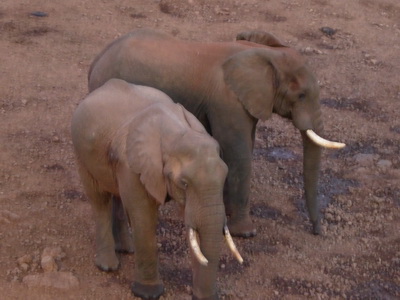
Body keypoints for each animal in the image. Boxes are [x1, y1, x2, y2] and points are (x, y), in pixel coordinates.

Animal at [70, 78, 242, 298]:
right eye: (184, 183)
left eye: (224, 177)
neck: (176, 133)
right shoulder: (132, 164)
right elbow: (143, 216)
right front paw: (148, 293)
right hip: (81, 152)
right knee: (99, 200)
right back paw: (107, 266)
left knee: (117, 196)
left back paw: (126, 249)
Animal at [89, 29, 346, 237]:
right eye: (301, 95)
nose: (317, 232)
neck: (266, 54)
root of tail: (97, 60)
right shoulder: (227, 101)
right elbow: (238, 153)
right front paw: (246, 233)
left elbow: (242, 146)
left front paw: (227, 211)